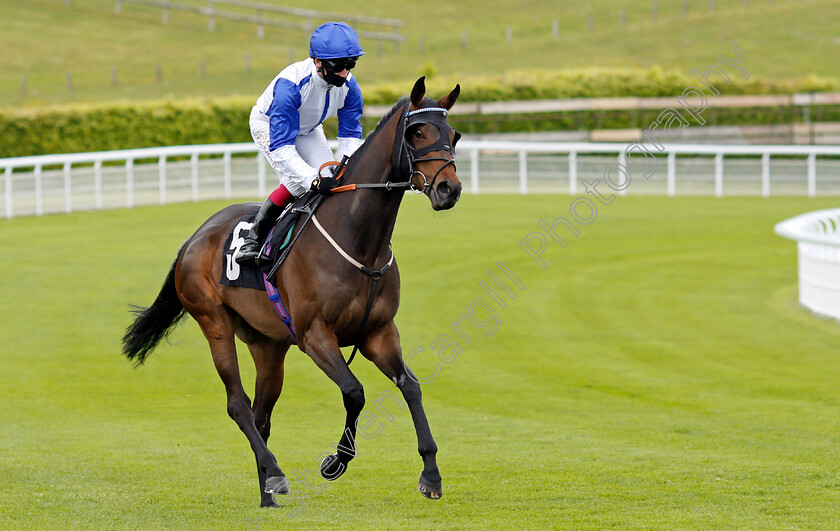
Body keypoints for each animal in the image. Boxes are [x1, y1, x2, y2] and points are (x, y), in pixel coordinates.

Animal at [123, 76, 466, 508]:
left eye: (453, 135)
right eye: (417, 132)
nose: (448, 189)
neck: (357, 240)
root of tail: (192, 239)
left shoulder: (379, 332)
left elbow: (411, 387)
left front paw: (430, 473)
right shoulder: (314, 334)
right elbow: (354, 392)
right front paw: (335, 461)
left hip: (268, 345)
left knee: (261, 415)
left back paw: (267, 492)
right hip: (214, 322)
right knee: (238, 405)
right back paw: (275, 474)